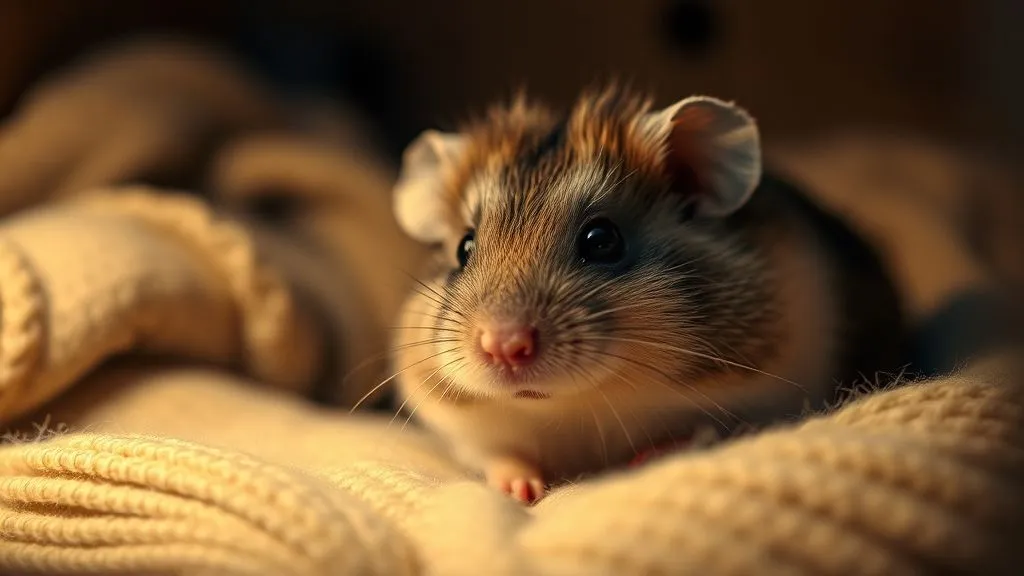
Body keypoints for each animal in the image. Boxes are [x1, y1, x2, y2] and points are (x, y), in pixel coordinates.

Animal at [385, 85, 904, 504]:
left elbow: (707, 429)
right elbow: (501, 455)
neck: (579, 408)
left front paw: (645, 458)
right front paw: (521, 491)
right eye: (464, 247)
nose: (503, 346)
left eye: (602, 240)